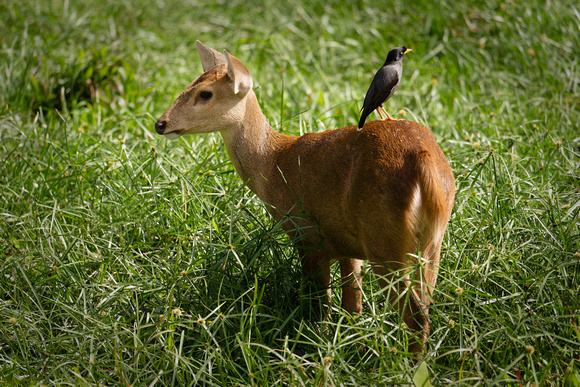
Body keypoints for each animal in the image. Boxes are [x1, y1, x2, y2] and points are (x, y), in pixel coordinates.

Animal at [156, 40, 456, 354]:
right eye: (189, 84)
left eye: (205, 93)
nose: (160, 123)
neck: (275, 162)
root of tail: (425, 163)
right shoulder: (347, 246)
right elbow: (353, 305)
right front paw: (350, 347)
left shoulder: (307, 234)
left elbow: (321, 303)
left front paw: (319, 344)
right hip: (431, 241)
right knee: (425, 305)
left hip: (384, 239)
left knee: (416, 317)